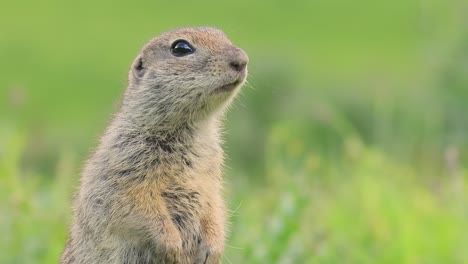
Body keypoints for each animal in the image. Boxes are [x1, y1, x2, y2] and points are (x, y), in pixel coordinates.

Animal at [61, 26, 249, 264]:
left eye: (223, 35)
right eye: (181, 48)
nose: (242, 60)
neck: (191, 129)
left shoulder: (211, 177)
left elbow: (214, 206)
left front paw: (213, 249)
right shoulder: (123, 169)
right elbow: (138, 208)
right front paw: (174, 247)